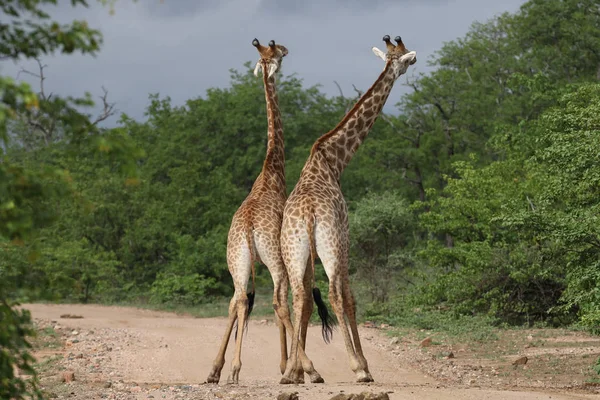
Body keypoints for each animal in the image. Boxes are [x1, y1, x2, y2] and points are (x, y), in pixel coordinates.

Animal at [204, 37, 292, 384]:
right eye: (278, 50)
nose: (289, 50)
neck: (272, 170)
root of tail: (248, 228)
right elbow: (280, 304)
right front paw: (284, 366)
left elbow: (240, 304)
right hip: (273, 257)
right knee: (278, 303)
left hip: (236, 258)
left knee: (238, 299)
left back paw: (220, 370)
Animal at [278, 35, 414, 384]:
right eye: (405, 61)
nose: (413, 63)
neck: (333, 160)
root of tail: (309, 215)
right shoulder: (347, 237)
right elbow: (351, 298)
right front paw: (364, 365)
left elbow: (306, 303)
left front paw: (298, 370)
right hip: (331, 246)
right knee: (337, 295)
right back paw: (356, 368)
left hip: (294, 250)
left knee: (299, 296)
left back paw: (292, 371)